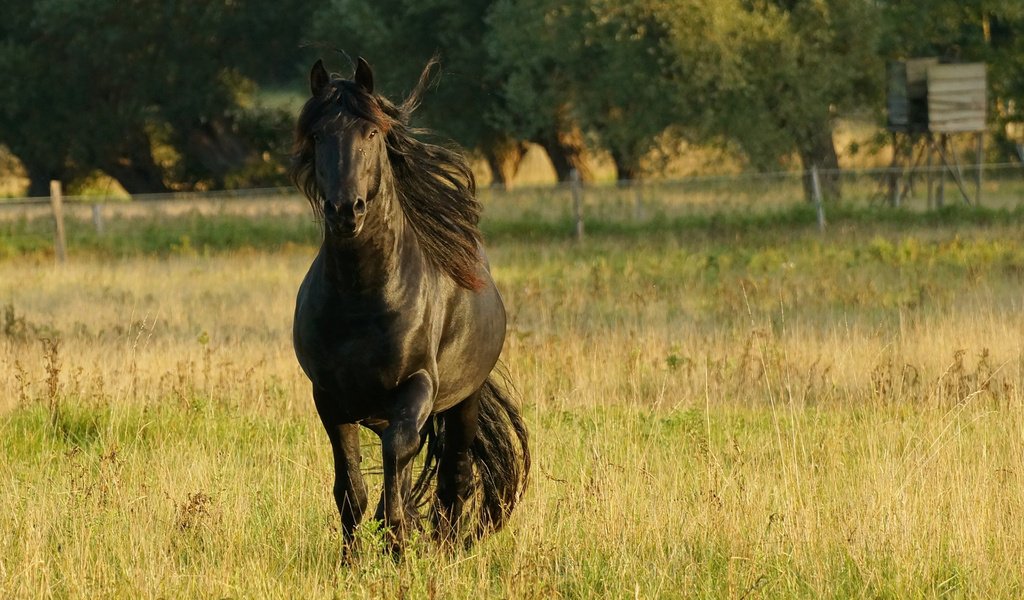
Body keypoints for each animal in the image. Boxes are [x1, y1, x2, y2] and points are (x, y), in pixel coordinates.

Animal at [288, 56, 528, 552]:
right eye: (317, 136)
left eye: (371, 133)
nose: (346, 210)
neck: (361, 297)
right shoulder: (329, 398)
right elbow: (352, 490)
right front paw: (352, 559)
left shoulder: (415, 386)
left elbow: (400, 460)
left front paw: (397, 544)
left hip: (462, 402)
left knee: (453, 476)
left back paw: (446, 549)